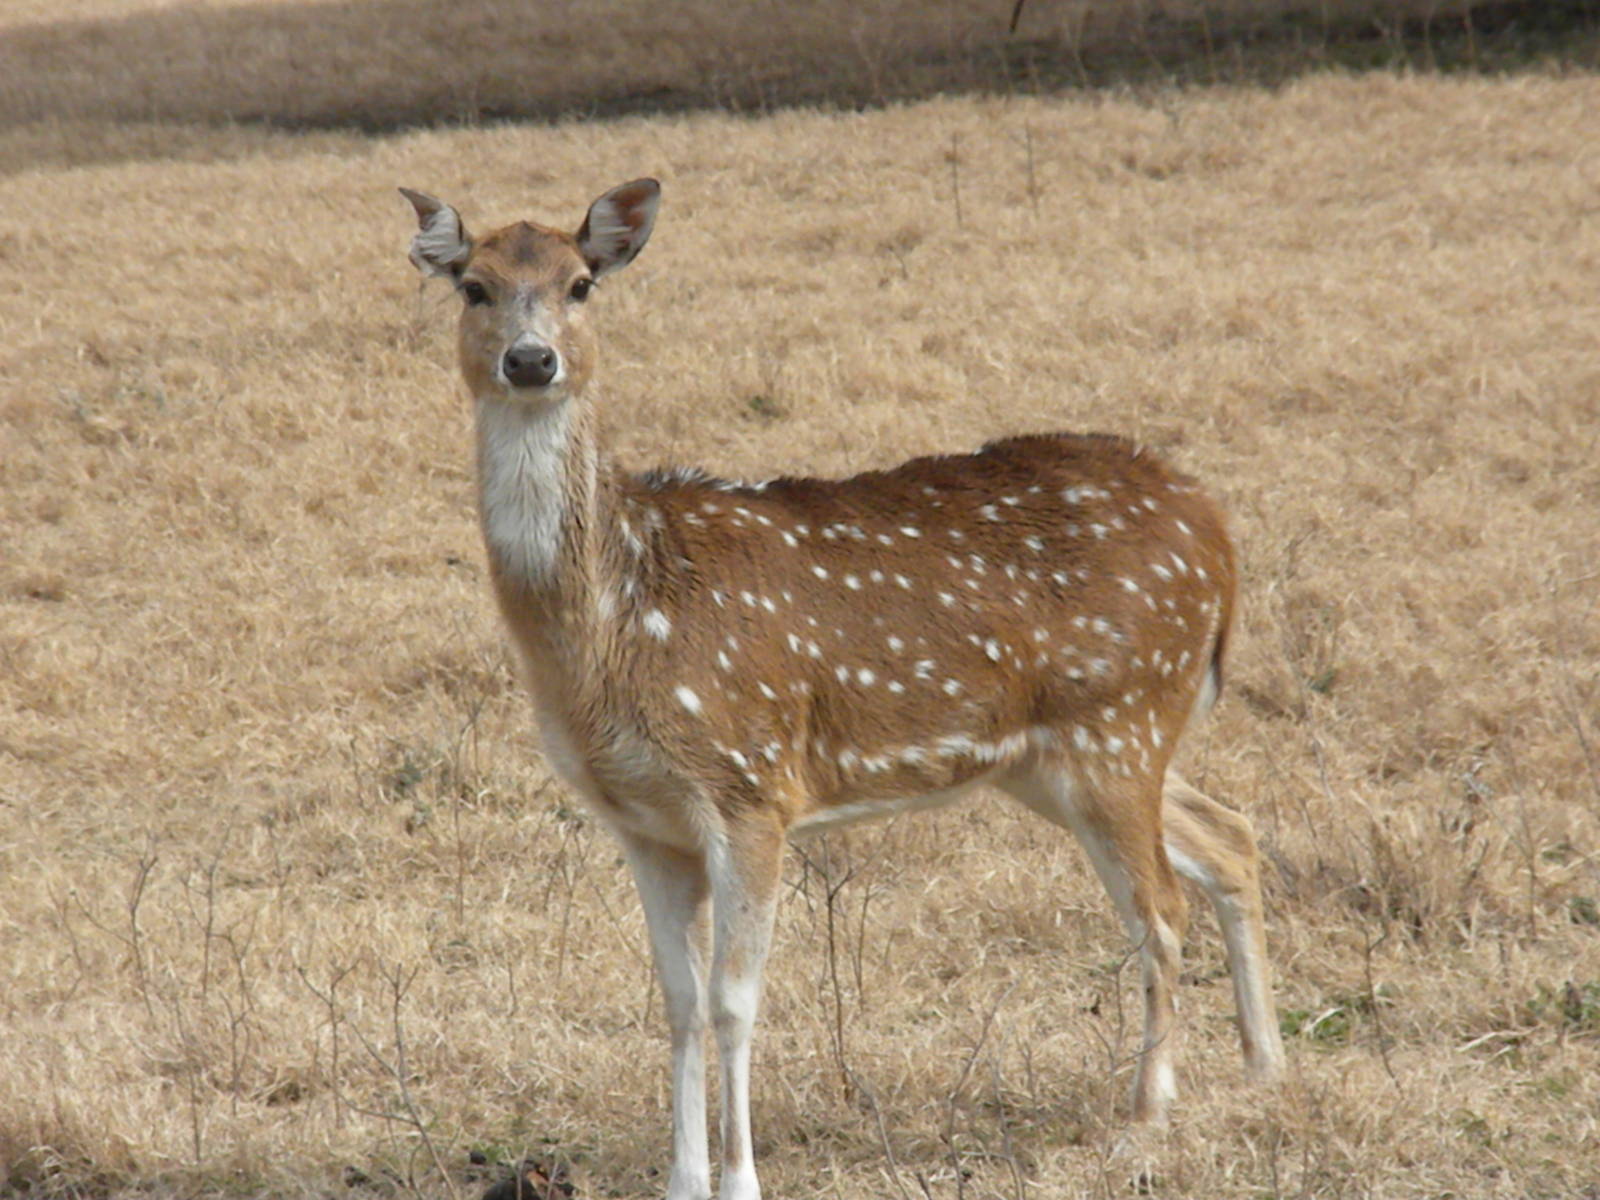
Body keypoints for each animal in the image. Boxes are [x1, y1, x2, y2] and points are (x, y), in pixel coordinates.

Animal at [399, 179, 1285, 1200]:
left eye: (581, 283)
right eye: (473, 286)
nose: (531, 359)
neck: (617, 622)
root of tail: (1217, 532)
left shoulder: (750, 783)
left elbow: (734, 1002)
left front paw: (740, 1180)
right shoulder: (642, 821)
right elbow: (677, 1003)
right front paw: (681, 1179)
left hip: (1121, 717)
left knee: (1161, 913)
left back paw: (1145, 1119)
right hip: (1061, 754)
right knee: (1231, 835)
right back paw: (1264, 1067)